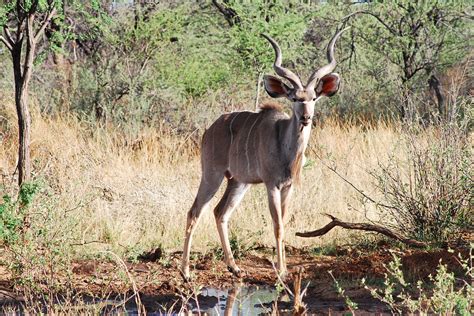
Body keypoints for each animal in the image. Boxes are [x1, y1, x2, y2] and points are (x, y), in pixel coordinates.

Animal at [183, 28, 346, 278]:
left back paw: (235, 268)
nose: (306, 117)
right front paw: (282, 271)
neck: (286, 148)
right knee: (194, 212)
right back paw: (186, 272)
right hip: (212, 175)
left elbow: (284, 223)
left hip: (238, 182)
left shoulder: (288, 187)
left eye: (313, 98)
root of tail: (208, 131)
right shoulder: (272, 185)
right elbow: (277, 225)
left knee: (221, 212)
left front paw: (283, 267)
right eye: (294, 98)